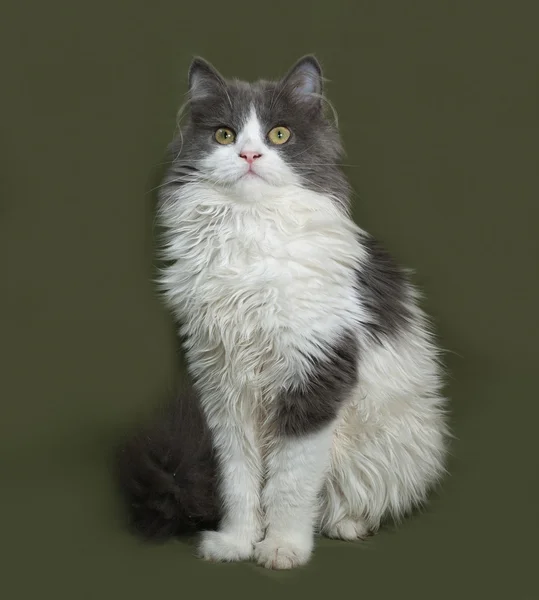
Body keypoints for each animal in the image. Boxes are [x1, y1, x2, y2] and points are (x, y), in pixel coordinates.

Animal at [118, 57, 452, 572]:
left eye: (279, 135)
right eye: (224, 135)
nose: (250, 155)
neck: (248, 234)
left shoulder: (314, 376)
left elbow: (290, 484)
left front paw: (282, 549)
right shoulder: (223, 386)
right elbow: (239, 482)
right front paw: (236, 543)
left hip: (388, 443)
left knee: (348, 500)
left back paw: (346, 526)